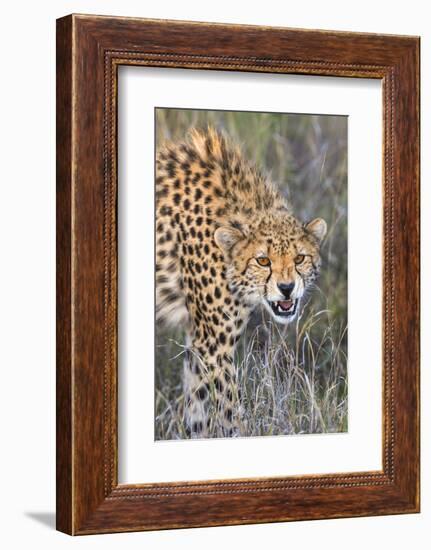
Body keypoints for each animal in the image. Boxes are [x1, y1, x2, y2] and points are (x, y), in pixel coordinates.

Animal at [156, 126, 328, 440]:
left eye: (299, 258)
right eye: (263, 261)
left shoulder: (199, 341)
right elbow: (228, 410)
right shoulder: (214, 344)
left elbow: (198, 406)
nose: (286, 288)